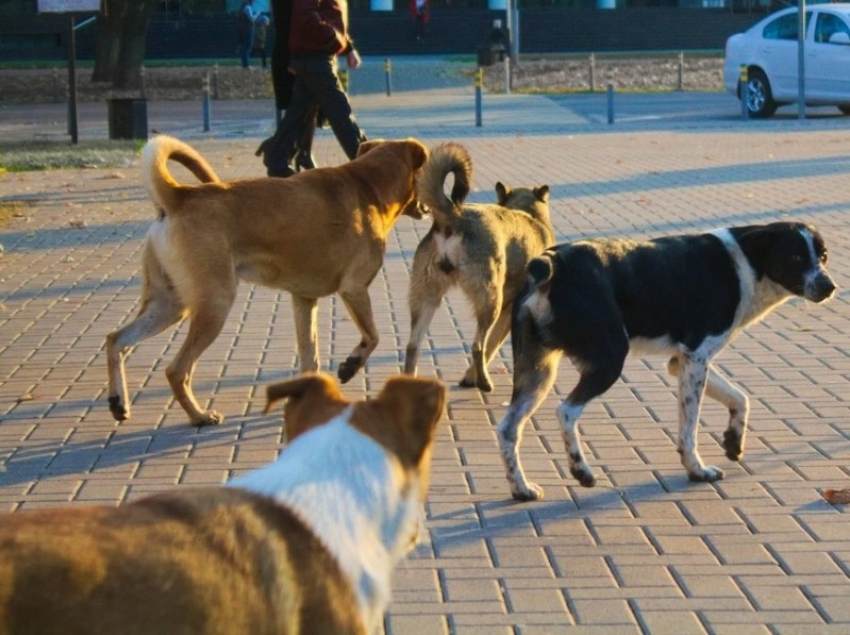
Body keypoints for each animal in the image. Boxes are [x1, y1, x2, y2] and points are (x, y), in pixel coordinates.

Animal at [107, 133, 428, 428]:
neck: (369, 185)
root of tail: (179, 196)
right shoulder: (355, 289)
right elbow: (372, 336)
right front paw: (351, 364)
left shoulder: (303, 299)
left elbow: (310, 354)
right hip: (214, 304)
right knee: (177, 370)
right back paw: (199, 415)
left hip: (169, 304)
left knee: (117, 339)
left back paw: (118, 401)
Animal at [496, 224, 836, 502]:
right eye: (795, 257)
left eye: (823, 256)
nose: (829, 286)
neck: (745, 262)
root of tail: (551, 263)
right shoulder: (696, 358)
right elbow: (689, 429)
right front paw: (697, 470)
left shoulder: (682, 361)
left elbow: (740, 398)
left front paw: (733, 439)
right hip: (607, 360)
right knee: (566, 411)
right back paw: (581, 469)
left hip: (537, 373)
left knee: (507, 428)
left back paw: (521, 489)